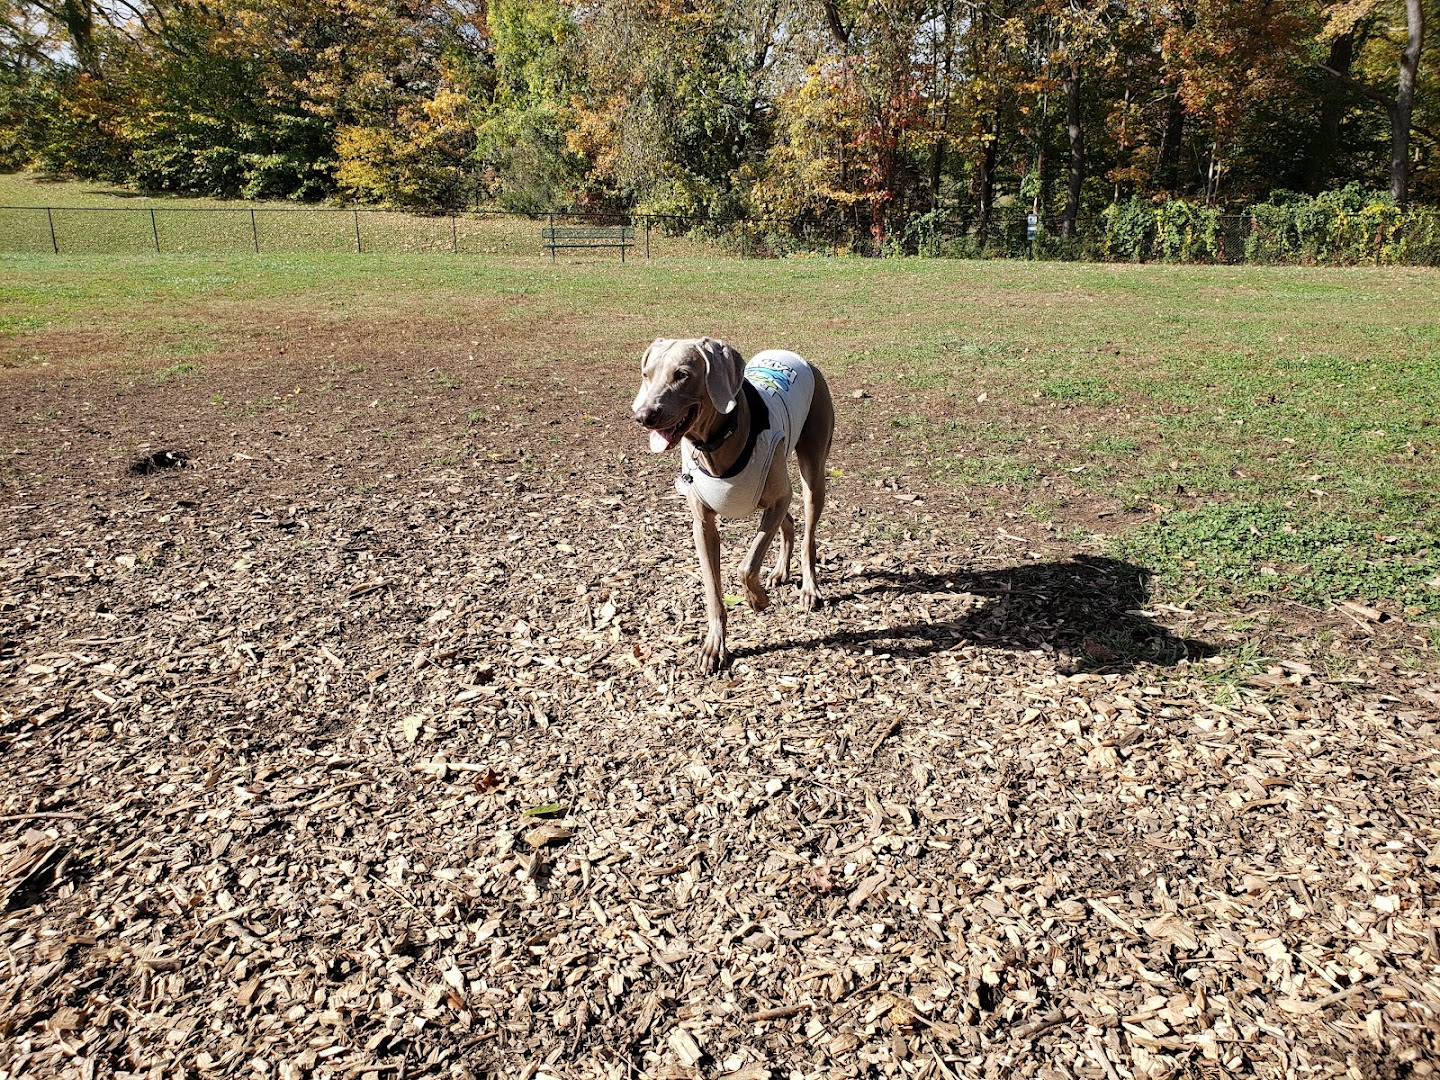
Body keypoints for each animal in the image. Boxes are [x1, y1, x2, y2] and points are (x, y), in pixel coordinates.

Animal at [630, 339, 835, 676]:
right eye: (646, 374)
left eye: (682, 374)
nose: (644, 415)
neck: (716, 443)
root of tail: (796, 356)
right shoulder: (702, 525)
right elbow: (713, 591)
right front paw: (715, 647)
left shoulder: (778, 497)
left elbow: (746, 566)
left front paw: (757, 600)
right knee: (790, 523)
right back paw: (779, 572)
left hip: (812, 466)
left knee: (808, 535)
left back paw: (809, 588)